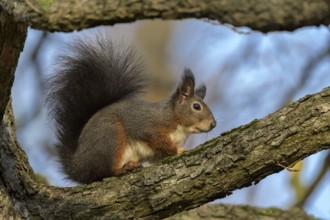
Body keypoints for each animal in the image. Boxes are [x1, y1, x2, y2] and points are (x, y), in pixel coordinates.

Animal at [46, 32, 217, 184]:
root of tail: (78, 166)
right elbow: (156, 138)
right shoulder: (148, 125)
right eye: (196, 106)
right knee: (104, 171)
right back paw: (123, 168)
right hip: (110, 139)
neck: (175, 120)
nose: (213, 124)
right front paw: (179, 150)